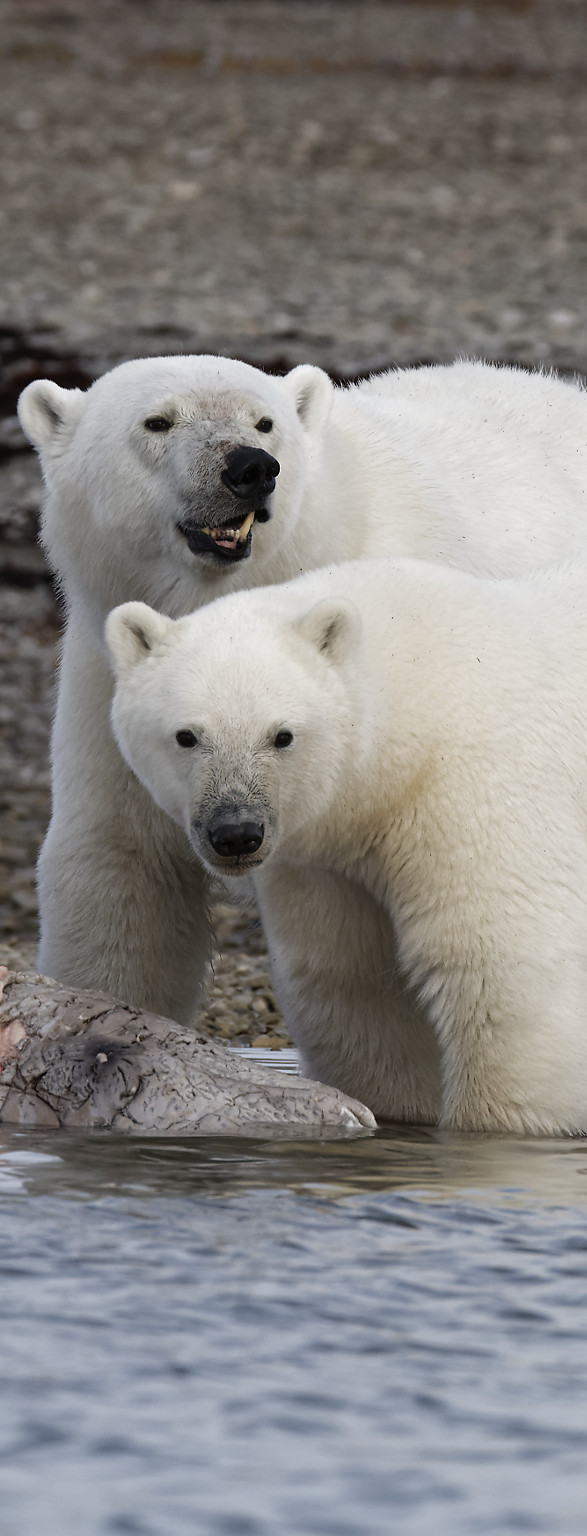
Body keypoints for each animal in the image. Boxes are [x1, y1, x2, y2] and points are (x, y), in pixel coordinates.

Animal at [105, 559, 587, 1136]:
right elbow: (351, 976)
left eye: (282, 735)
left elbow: (502, 967)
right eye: (187, 735)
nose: (236, 833)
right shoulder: (326, 860)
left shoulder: (477, 787)